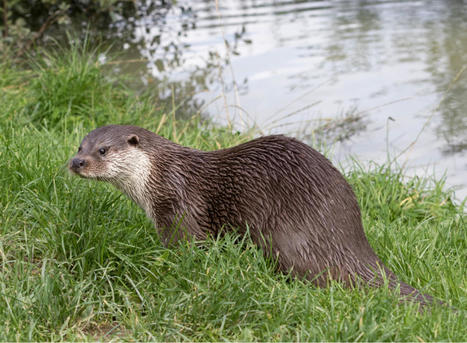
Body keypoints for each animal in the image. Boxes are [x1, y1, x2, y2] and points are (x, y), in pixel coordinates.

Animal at [70, 125, 436, 306]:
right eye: (79, 146)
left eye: (103, 150)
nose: (77, 162)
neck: (158, 176)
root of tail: (348, 235)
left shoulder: (180, 208)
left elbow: (186, 248)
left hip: (285, 237)